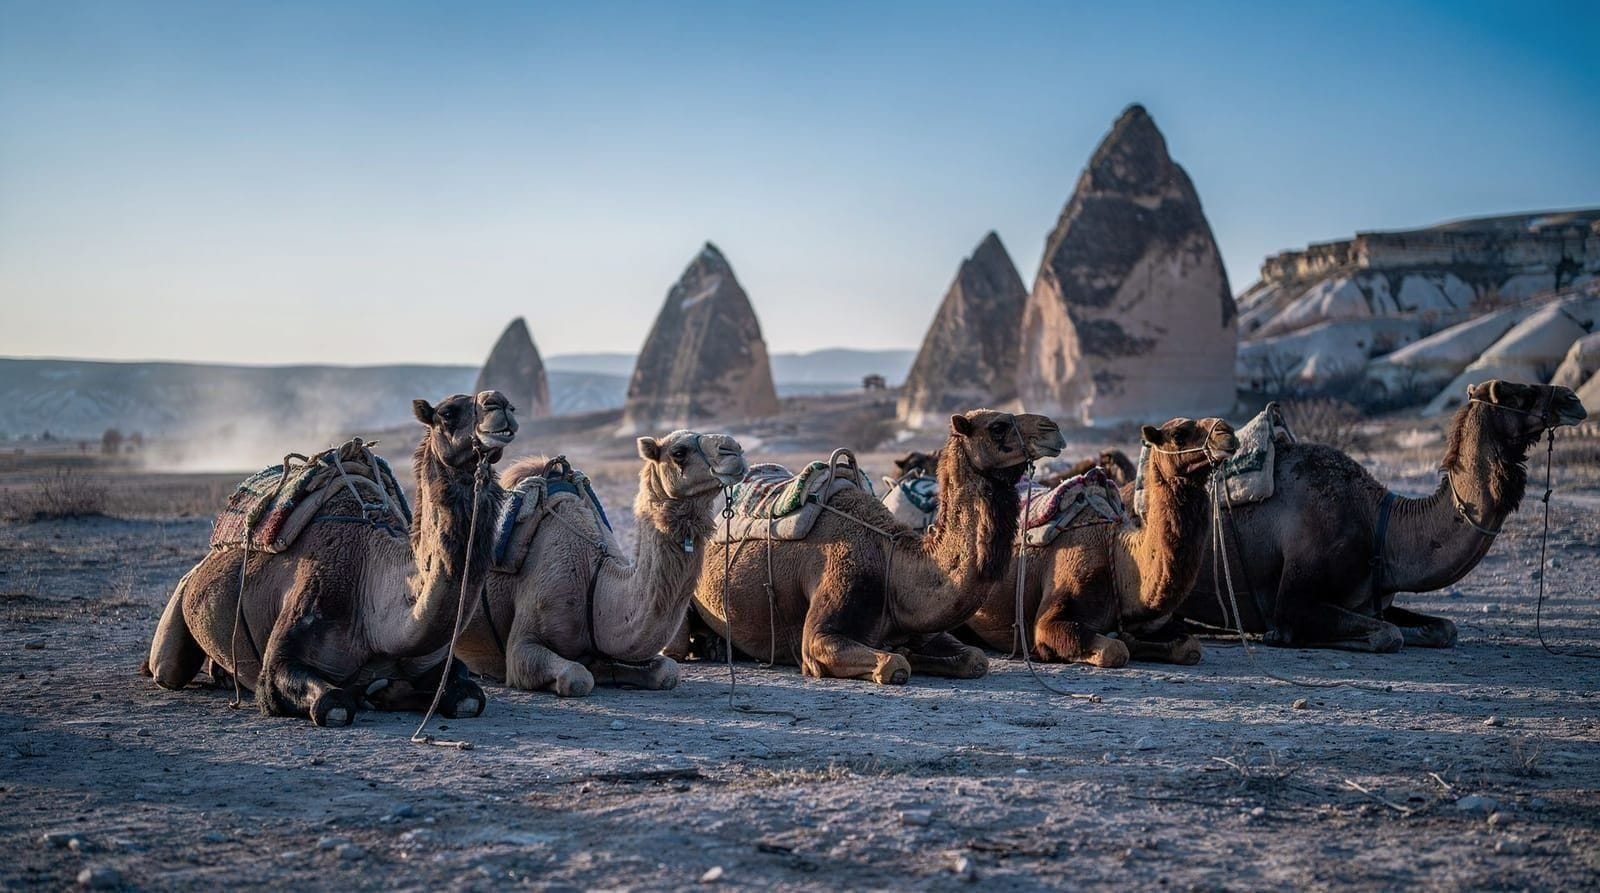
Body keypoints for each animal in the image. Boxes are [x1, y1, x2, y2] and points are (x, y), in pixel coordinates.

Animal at [145, 391, 517, 726]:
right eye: (448, 413)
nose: (501, 403)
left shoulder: (439, 661)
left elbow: (468, 696)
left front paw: (381, 691)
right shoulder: (281, 660)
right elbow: (333, 703)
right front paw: (369, 693)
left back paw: (223, 675)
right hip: (177, 621)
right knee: (168, 669)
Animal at [456, 431, 747, 697]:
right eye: (679, 452)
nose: (734, 449)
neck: (594, 578)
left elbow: (668, 672)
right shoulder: (522, 645)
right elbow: (576, 677)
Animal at [683, 410, 1065, 685]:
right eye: (998, 426)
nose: (1053, 429)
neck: (891, 563)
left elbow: (976, 659)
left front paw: (914, 652)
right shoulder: (817, 639)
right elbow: (894, 665)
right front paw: (902, 657)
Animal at [967, 417, 1238, 667]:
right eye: (1179, 435)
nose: (1227, 432)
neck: (1119, 559)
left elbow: (1191, 647)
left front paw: (1132, 638)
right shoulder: (1049, 616)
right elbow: (1114, 651)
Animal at [1180, 380, 1586, 652]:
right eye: (1514, 392)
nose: (1573, 399)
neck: (1380, 526)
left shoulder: (1377, 601)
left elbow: (1443, 628)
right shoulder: (1293, 600)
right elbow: (1388, 636)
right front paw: (1277, 635)